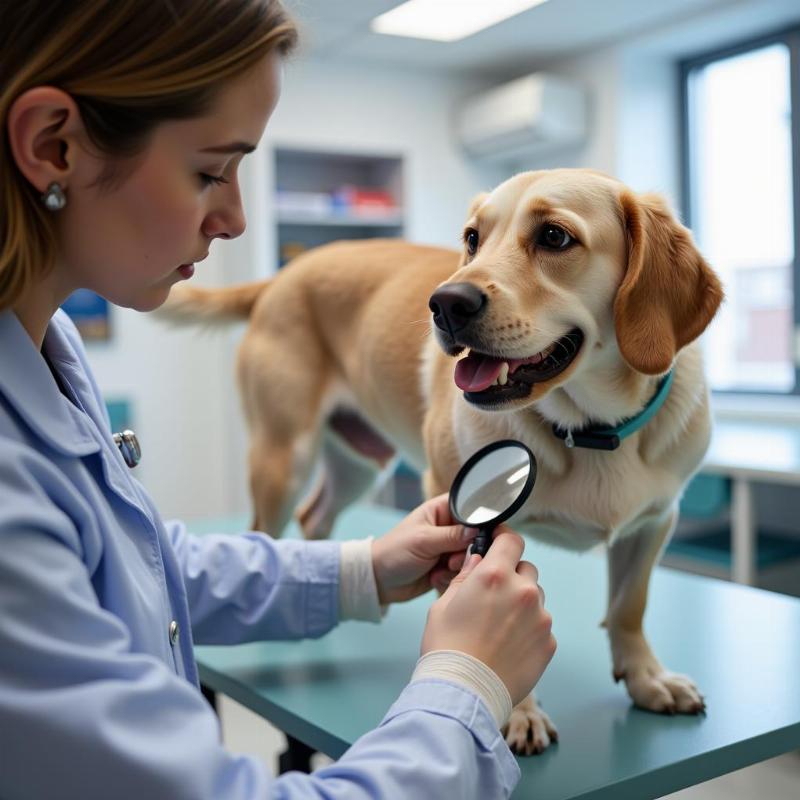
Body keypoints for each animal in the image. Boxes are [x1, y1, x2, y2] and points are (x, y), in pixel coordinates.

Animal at [167, 166, 724, 752]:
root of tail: (282, 276)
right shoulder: (459, 499)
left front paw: (646, 677)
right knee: (265, 532)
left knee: (313, 517)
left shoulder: (656, 520)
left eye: (554, 237)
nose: (445, 303)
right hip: (285, 456)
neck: (591, 430)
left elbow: (628, 607)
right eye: (473, 238)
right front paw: (517, 710)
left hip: (359, 467)